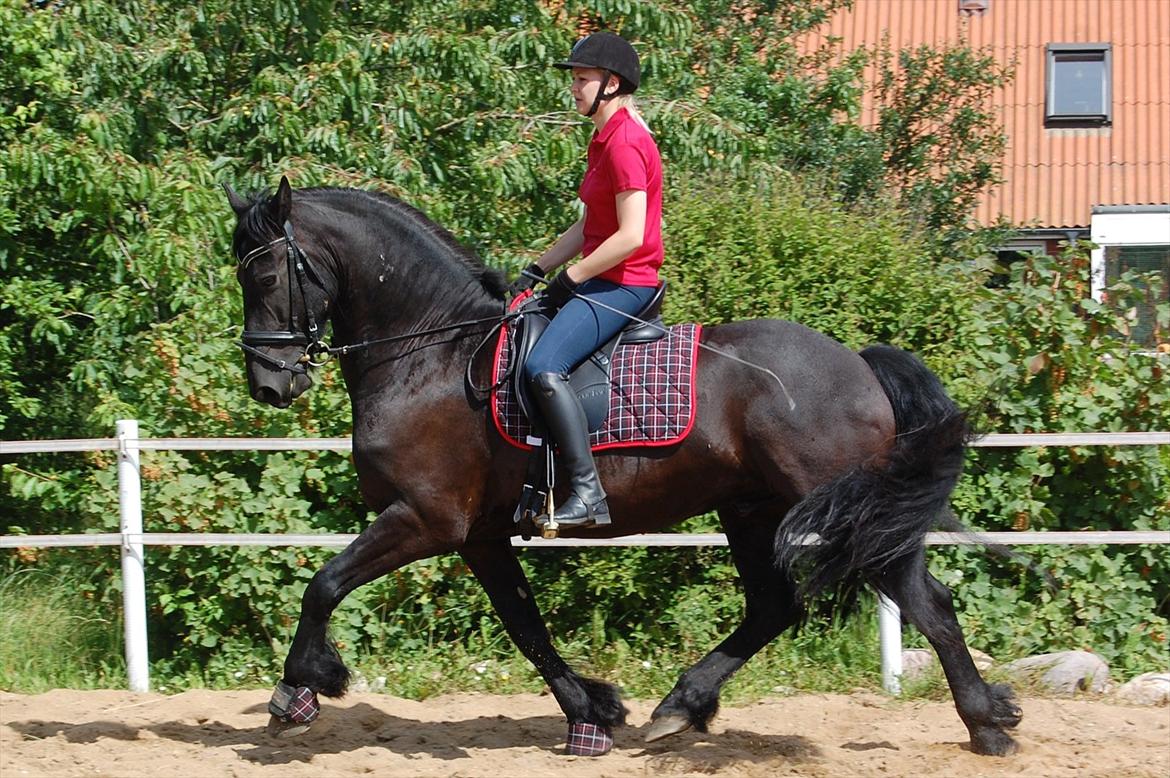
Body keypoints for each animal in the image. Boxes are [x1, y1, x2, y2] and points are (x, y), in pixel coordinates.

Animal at [223, 178, 1020, 753]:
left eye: (265, 274)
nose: (267, 384)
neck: (430, 353)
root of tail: (857, 364)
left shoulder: (425, 519)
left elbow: (324, 584)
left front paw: (300, 688)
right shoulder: (479, 534)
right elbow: (525, 623)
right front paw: (592, 713)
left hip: (843, 511)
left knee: (928, 604)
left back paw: (986, 722)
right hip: (751, 510)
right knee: (774, 606)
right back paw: (681, 706)